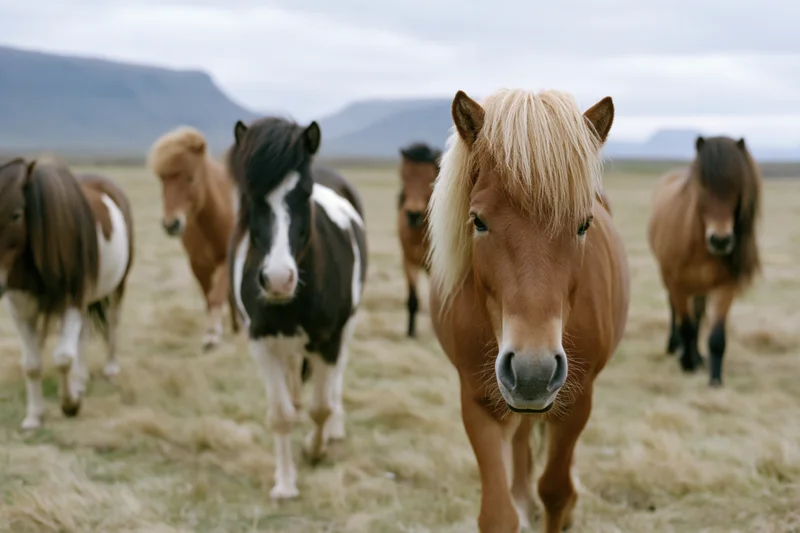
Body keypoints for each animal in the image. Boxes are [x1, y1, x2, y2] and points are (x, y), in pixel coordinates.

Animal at [0, 158, 135, 430]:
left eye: (16, 215)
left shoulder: (72, 300)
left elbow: (62, 358)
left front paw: (70, 405)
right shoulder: (19, 307)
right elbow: (32, 365)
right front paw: (34, 416)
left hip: (118, 285)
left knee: (113, 321)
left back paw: (110, 369)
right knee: (83, 334)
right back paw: (80, 380)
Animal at [148, 126, 240, 351]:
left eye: (190, 178)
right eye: (163, 180)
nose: (171, 224)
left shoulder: (226, 259)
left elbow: (217, 296)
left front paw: (212, 334)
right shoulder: (198, 265)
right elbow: (208, 297)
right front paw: (214, 330)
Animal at [226, 116, 368, 500]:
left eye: (304, 193)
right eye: (250, 195)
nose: (277, 279)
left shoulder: (328, 340)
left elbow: (321, 409)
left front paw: (315, 450)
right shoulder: (261, 342)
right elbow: (280, 415)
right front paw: (285, 483)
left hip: (346, 329)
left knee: (335, 380)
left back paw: (334, 428)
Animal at [426, 88, 630, 533]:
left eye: (583, 224)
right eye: (478, 221)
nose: (533, 372)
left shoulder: (577, 401)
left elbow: (556, 491)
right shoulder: (479, 400)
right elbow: (497, 513)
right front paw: (516, 506)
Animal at [647, 136, 762, 387]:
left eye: (736, 188)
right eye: (703, 187)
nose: (720, 240)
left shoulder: (724, 286)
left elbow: (716, 335)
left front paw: (714, 378)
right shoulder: (677, 283)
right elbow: (687, 327)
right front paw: (687, 364)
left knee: (698, 314)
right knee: (677, 312)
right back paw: (675, 347)